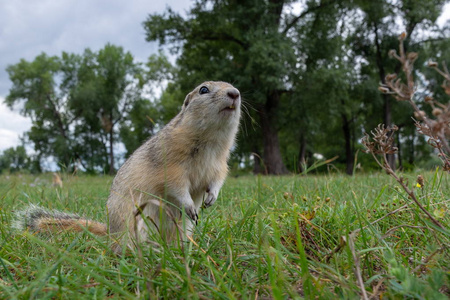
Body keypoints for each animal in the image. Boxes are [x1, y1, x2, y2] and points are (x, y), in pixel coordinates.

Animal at [14, 81, 241, 252]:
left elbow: (216, 182)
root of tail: (110, 233)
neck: (211, 142)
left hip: (180, 229)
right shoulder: (171, 166)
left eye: (232, 85)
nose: (235, 93)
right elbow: (177, 187)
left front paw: (211, 199)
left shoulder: (219, 167)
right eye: (203, 89)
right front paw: (190, 206)